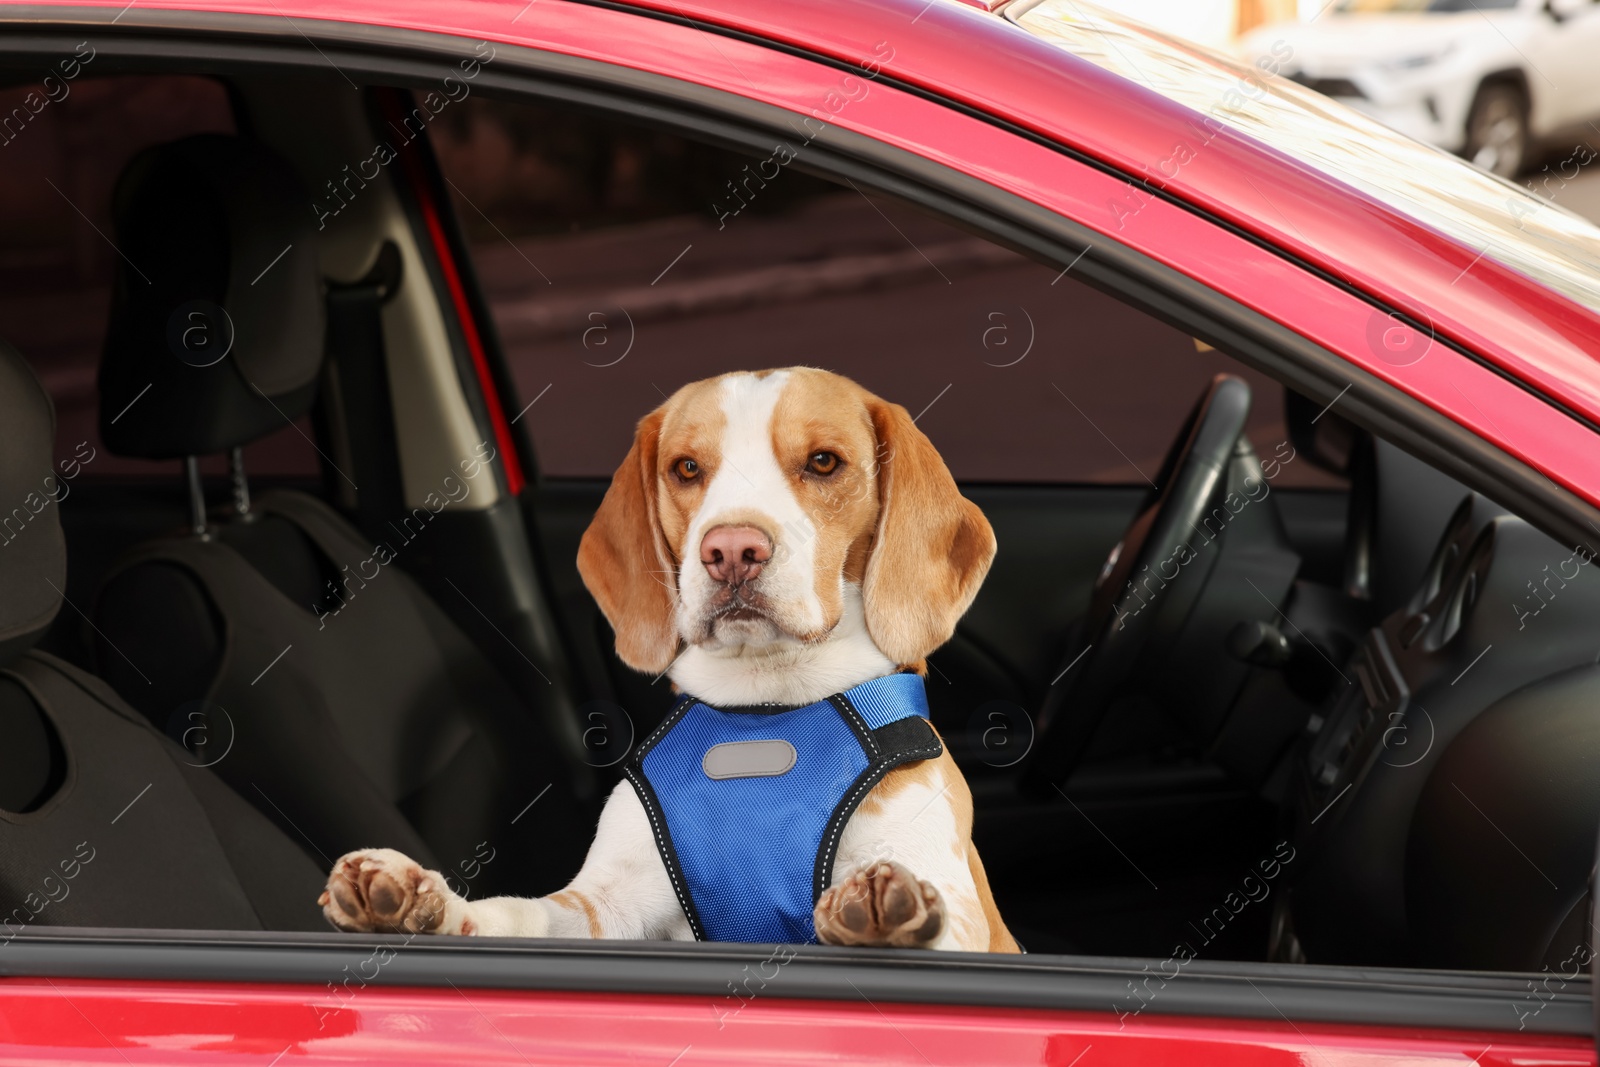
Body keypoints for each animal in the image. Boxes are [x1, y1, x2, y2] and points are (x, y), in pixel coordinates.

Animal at [320, 367, 1017, 953]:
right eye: (686, 468)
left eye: (824, 462)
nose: (732, 550)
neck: (766, 706)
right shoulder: (609, 905)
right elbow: (521, 914)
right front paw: (426, 905)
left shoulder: (951, 902)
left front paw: (883, 914)